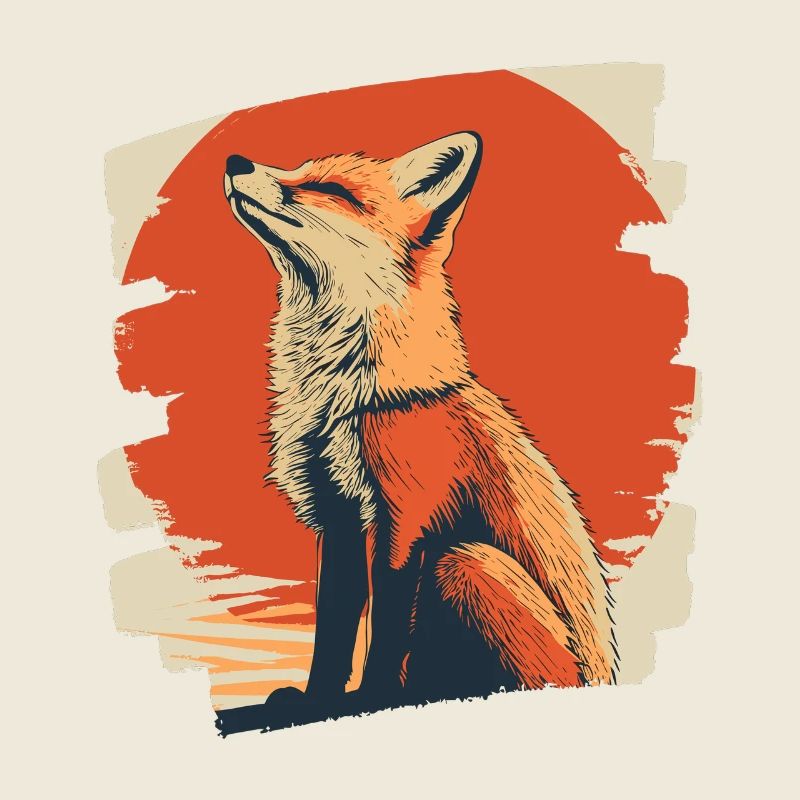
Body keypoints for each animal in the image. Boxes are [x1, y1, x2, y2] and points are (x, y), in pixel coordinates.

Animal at [222, 131, 617, 728]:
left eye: (330, 189)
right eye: (299, 170)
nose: (234, 160)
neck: (349, 399)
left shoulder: (406, 521)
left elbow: (386, 634)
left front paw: (373, 699)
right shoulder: (337, 517)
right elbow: (333, 630)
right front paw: (317, 702)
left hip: (464, 562)